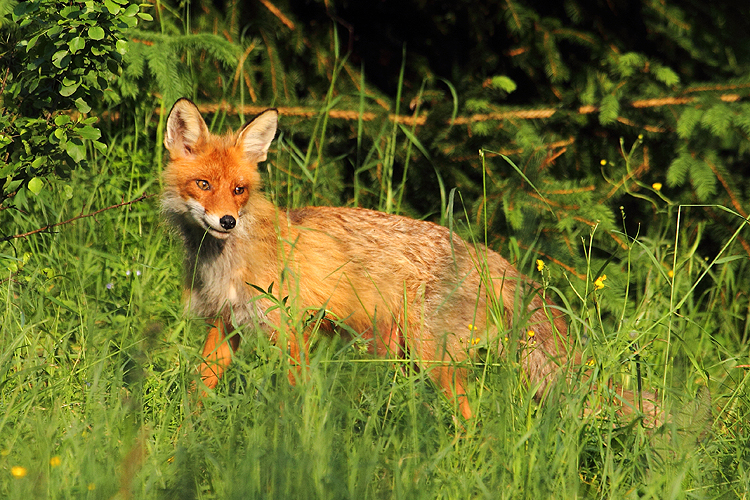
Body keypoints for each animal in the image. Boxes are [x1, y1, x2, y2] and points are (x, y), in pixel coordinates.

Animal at [162, 97, 660, 422]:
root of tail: (487, 255)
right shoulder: (226, 325)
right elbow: (197, 390)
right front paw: (181, 444)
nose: (226, 221)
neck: (227, 262)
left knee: (471, 420)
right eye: (204, 184)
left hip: (431, 358)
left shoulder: (289, 332)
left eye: (239, 189)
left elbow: (293, 405)